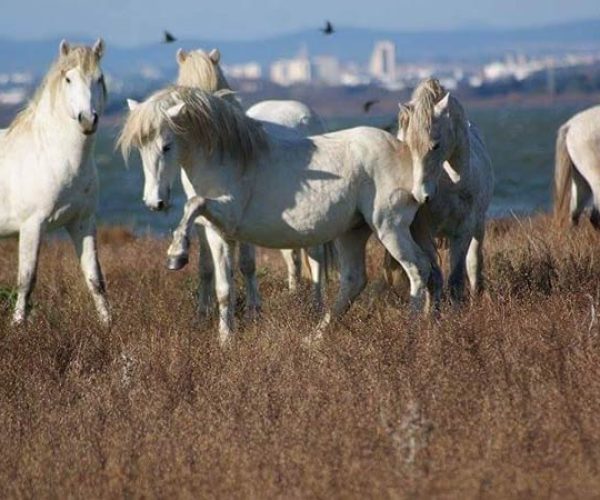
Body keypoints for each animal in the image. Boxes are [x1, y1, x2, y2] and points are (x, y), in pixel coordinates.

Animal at [0, 41, 110, 326]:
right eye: (69, 79)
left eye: (99, 78)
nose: (87, 119)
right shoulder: (32, 226)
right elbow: (26, 280)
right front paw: (18, 325)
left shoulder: (82, 223)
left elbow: (95, 279)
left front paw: (108, 325)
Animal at [118, 87, 436, 344]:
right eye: (141, 148)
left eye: (166, 146)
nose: (155, 202)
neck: (229, 160)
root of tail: (405, 151)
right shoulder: (218, 233)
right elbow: (224, 288)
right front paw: (225, 340)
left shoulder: (226, 214)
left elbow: (193, 203)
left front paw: (176, 254)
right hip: (353, 231)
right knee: (354, 280)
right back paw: (315, 337)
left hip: (389, 228)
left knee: (418, 269)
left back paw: (411, 333)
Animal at [173, 48, 332, 318]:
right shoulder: (203, 220)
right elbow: (206, 266)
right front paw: (202, 314)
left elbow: (247, 263)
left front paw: (253, 310)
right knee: (292, 254)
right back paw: (294, 294)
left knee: (315, 255)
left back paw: (315, 305)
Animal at [386, 79, 494, 300]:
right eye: (408, 146)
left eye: (435, 145)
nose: (420, 195)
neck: (449, 184)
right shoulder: (422, 232)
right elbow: (434, 278)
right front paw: (433, 309)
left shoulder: (464, 229)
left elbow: (456, 279)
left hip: (478, 227)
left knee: (474, 263)